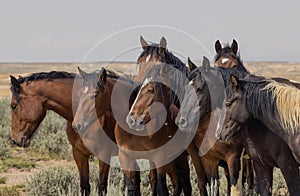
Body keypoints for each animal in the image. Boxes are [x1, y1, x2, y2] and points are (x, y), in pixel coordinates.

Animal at [72, 68, 192, 196]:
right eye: (79, 94)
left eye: (95, 94)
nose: (76, 124)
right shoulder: (125, 157)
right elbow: (130, 188)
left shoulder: (160, 158)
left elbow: (162, 189)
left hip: (179, 157)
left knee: (184, 184)